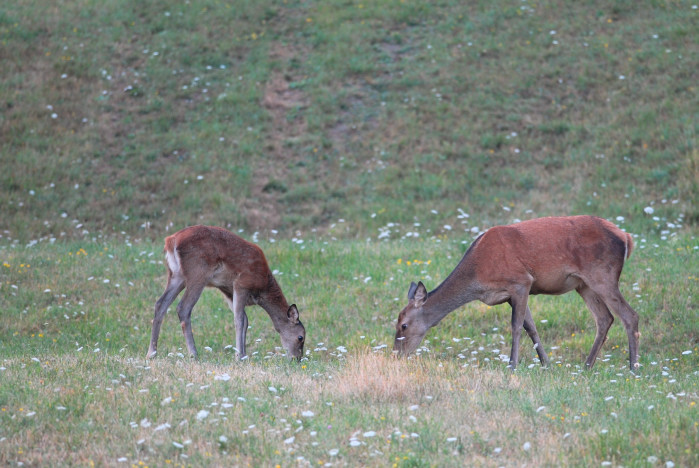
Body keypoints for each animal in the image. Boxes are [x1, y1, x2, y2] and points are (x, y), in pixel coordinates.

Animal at [148, 227, 306, 362]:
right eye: (301, 337)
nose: (297, 359)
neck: (262, 286)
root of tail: (171, 241)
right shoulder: (241, 284)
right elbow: (240, 320)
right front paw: (239, 357)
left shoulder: (227, 290)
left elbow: (245, 319)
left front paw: (243, 354)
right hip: (197, 273)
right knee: (183, 307)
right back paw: (194, 354)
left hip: (176, 275)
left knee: (160, 304)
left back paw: (151, 353)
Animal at [394, 214, 640, 372]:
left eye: (403, 325)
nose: (397, 354)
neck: (478, 275)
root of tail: (627, 237)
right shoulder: (509, 295)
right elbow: (531, 327)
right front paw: (546, 364)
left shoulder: (521, 281)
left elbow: (516, 326)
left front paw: (512, 365)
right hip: (584, 284)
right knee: (605, 318)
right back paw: (587, 367)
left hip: (603, 275)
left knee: (630, 315)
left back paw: (633, 368)